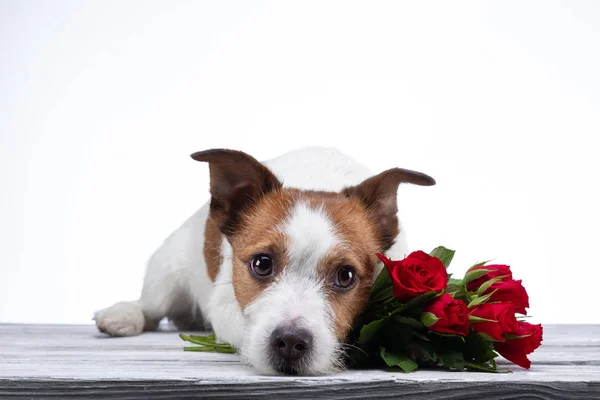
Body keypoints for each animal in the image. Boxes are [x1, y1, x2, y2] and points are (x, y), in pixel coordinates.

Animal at [94, 147, 434, 376]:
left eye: (346, 276)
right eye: (261, 264)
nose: (291, 342)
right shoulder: (224, 305)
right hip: (166, 273)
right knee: (151, 306)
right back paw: (124, 315)